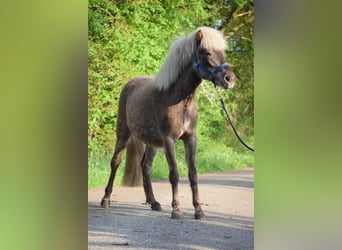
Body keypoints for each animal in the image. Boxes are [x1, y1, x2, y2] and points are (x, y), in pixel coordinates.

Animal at [100, 26, 236, 220]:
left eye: (222, 52)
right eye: (206, 52)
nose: (229, 79)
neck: (180, 100)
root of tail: (131, 83)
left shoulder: (190, 139)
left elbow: (193, 174)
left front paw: (198, 210)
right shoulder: (170, 140)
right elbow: (174, 174)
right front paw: (176, 210)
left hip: (152, 143)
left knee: (146, 167)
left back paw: (154, 202)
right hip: (123, 133)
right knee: (115, 162)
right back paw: (106, 199)